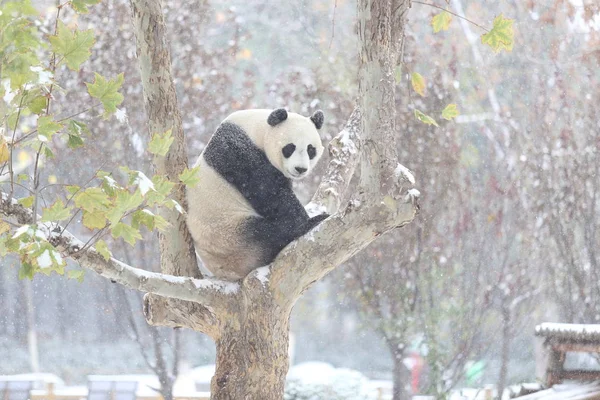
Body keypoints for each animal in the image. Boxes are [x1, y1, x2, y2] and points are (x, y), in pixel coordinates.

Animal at [188, 108, 328, 280]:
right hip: (229, 235)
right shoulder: (239, 153)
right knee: (267, 235)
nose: (300, 169)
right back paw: (309, 224)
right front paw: (306, 220)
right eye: (290, 148)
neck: (256, 130)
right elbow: (271, 195)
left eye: (311, 150)